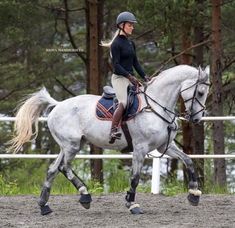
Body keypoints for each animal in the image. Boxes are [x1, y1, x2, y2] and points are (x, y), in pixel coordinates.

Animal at [9, 64, 209, 216]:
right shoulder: (140, 148)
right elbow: (135, 177)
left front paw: (194, 193)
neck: (155, 106)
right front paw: (132, 204)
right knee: (64, 168)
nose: (197, 119)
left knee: (53, 170)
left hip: (70, 146)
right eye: (200, 92)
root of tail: (57, 105)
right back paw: (84, 196)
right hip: (72, 146)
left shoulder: (163, 147)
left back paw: (44, 205)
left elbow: (188, 160)